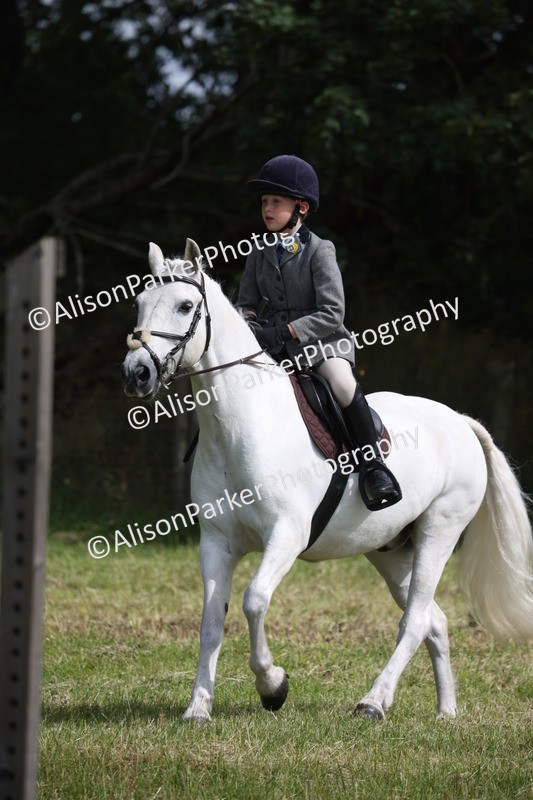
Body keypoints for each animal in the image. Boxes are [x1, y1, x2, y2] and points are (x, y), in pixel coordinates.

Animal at [121, 238, 533, 723]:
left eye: (185, 306)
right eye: (139, 303)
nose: (136, 373)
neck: (238, 426)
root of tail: (461, 421)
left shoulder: (287, 534)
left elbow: (254, 600)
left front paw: (273, 687)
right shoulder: (217, 541)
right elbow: (210, 622)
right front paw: (198, 708)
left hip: (441, 530)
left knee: (414, 621)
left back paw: (373, 702)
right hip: (390, 550)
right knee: (434, 620)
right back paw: (446, 711)